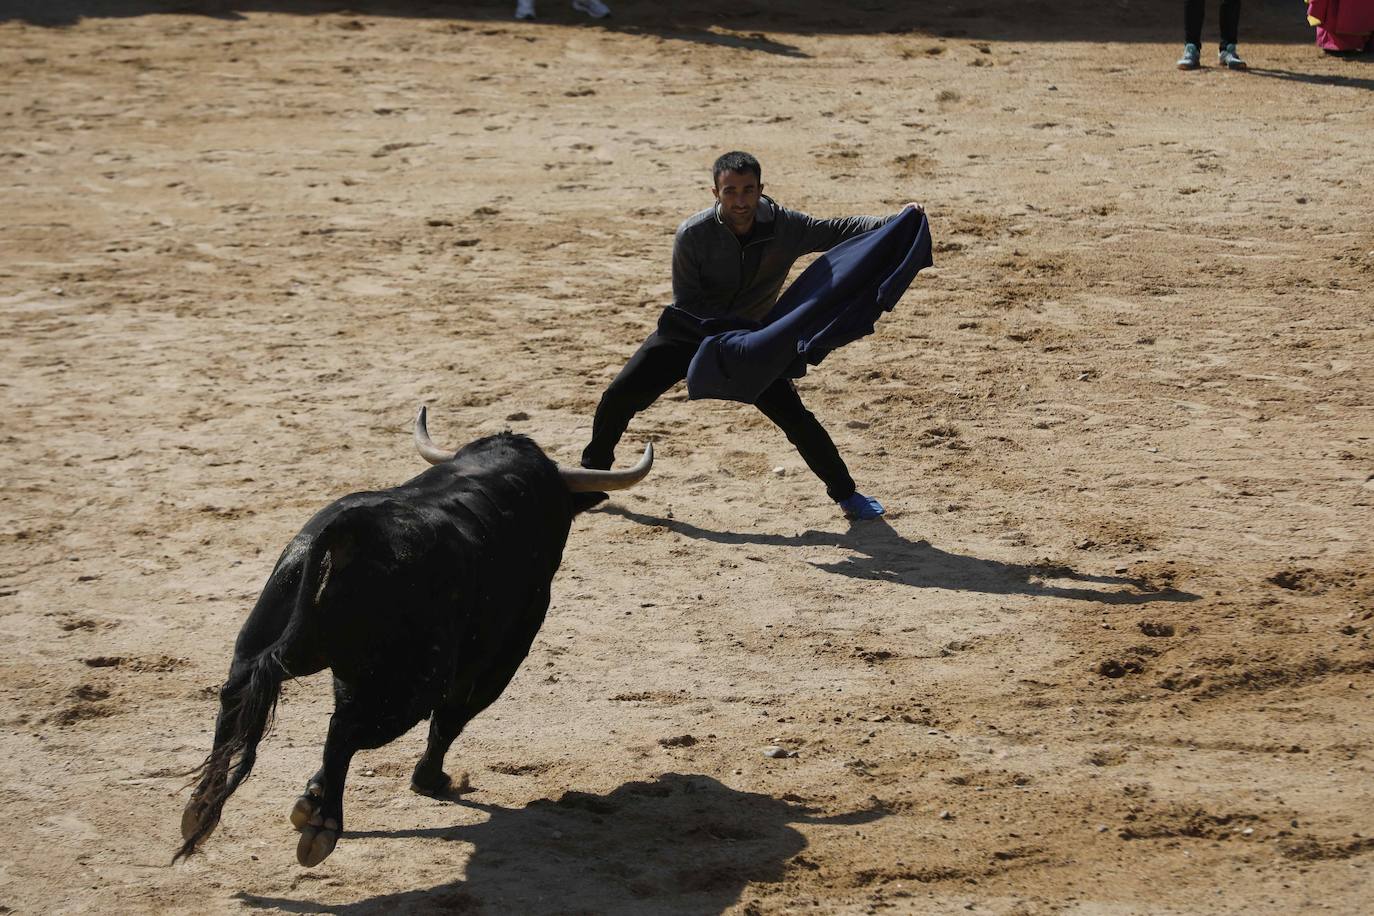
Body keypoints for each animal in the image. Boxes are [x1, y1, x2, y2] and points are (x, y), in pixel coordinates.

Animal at [175, 409, 648, 867]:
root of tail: (351, 531)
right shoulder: (502, 656)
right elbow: (452, 718)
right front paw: (428, 779)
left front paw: (311, 793)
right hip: (410, 687)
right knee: (345, 729)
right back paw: (324, 826)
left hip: (266, 644)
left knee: (237, 702)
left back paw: (201, 808)